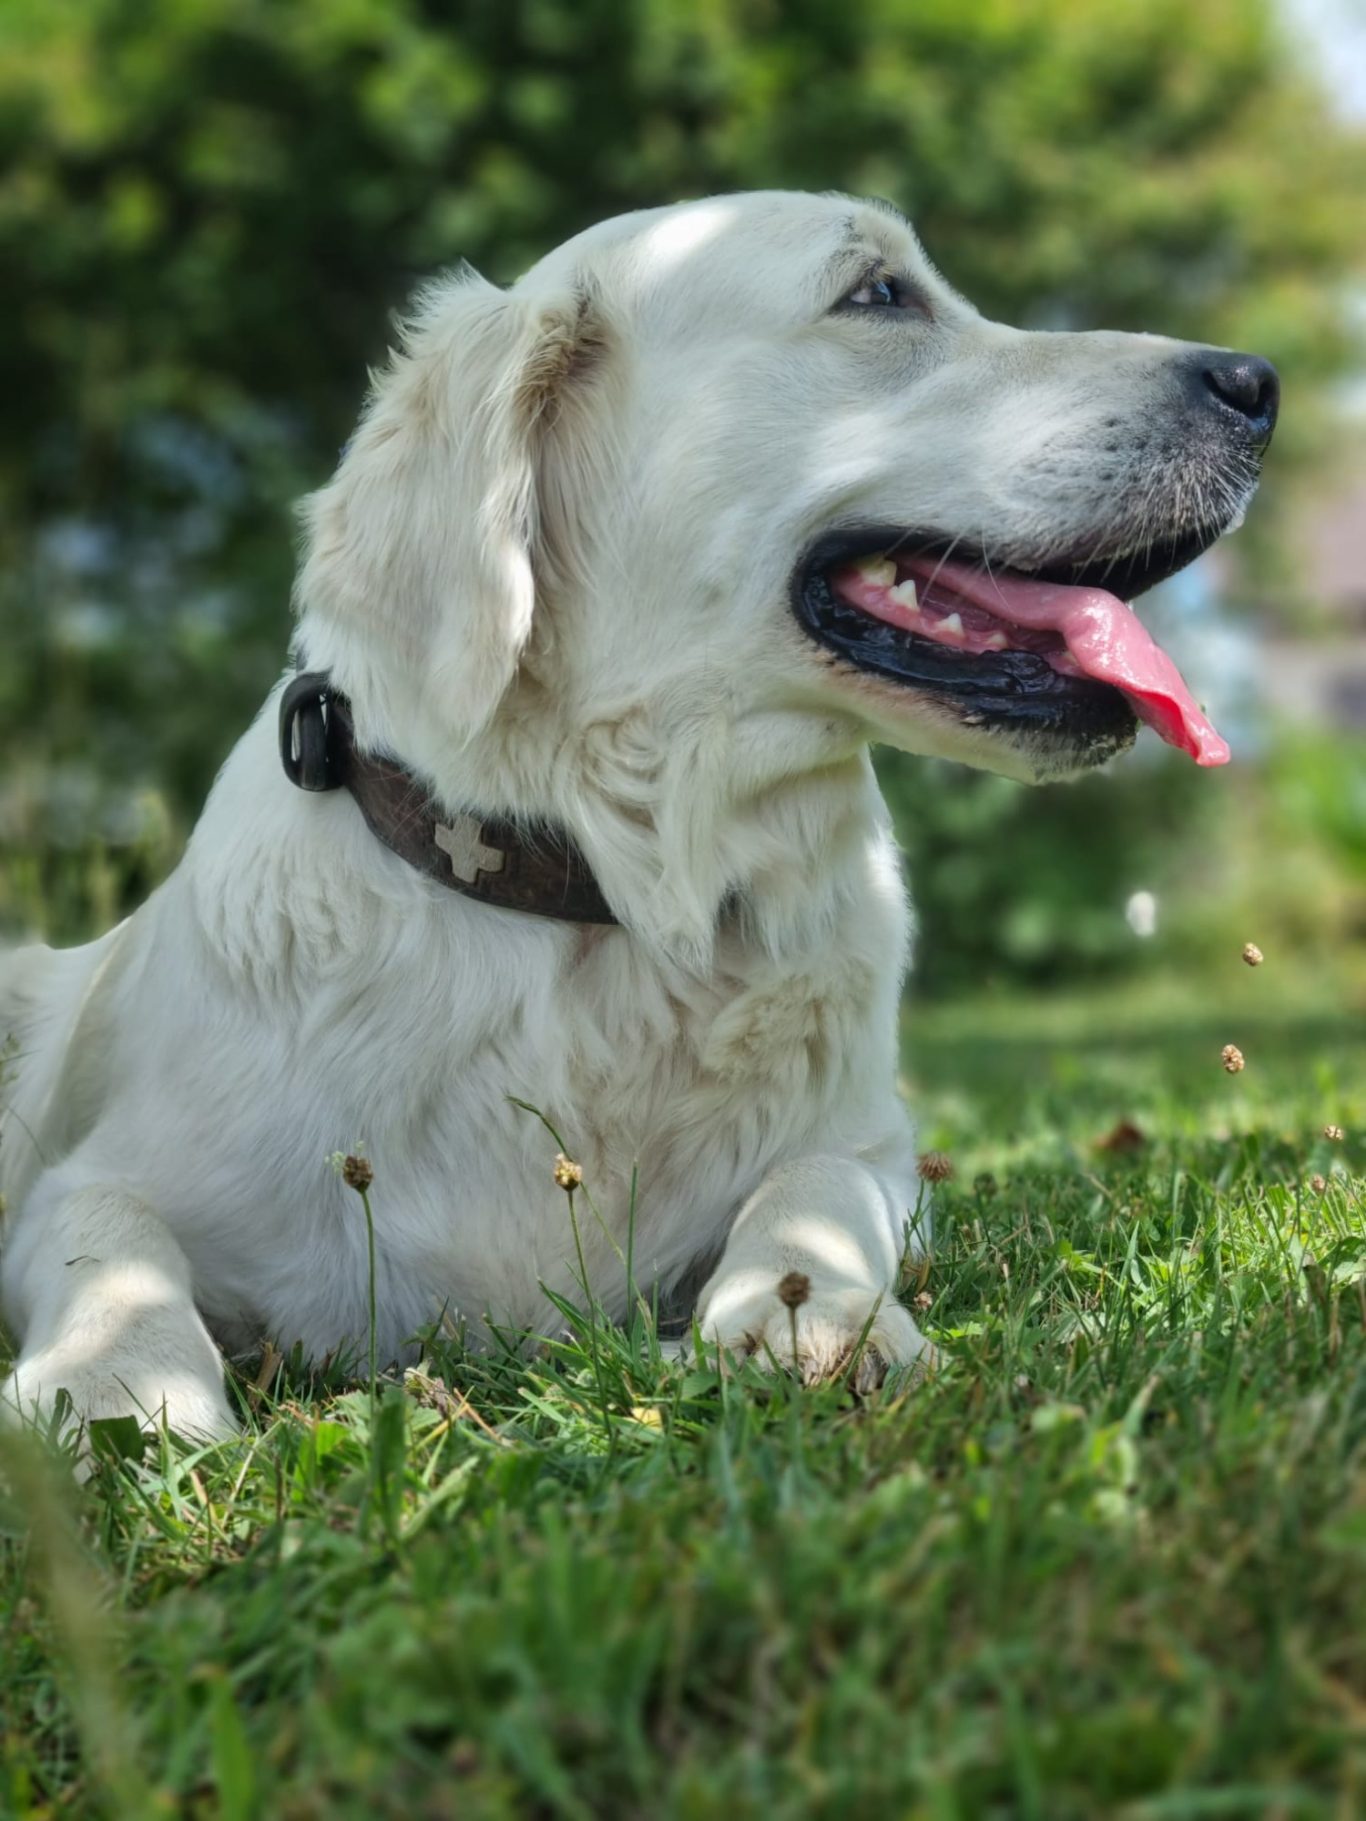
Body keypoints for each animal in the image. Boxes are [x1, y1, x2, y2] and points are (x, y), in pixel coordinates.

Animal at [0, 191, 1276, 1444]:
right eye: (878, 293)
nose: (1257, 383)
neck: (607, 897)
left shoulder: (875, 1146)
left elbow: (817, 1185)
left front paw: (812, 1314)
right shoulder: (103, 1177)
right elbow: (109, 1238)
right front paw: (115, 1385)